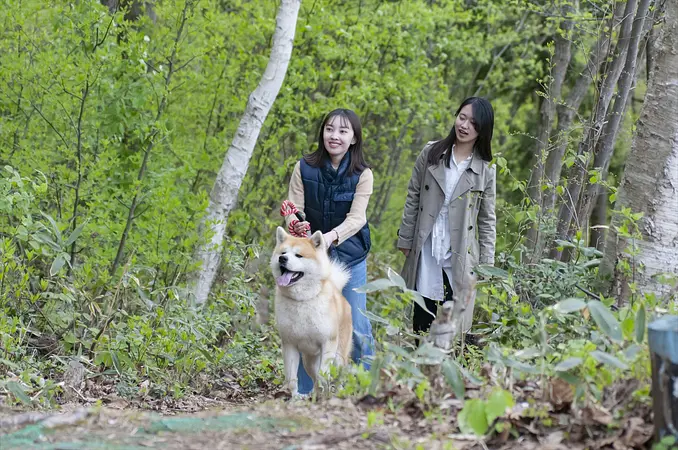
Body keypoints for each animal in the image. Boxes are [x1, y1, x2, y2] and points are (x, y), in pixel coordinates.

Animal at [272, 227, 356, 396]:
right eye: (283, 253)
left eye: (298, 255)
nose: (282, 259)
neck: (302, 300)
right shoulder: (289, 344)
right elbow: (292, 379)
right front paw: (294, 397)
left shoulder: (328, 344)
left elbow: (323, 376)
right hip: (309, 360)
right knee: (315, 375)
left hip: (338, 357)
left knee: (338, 378)